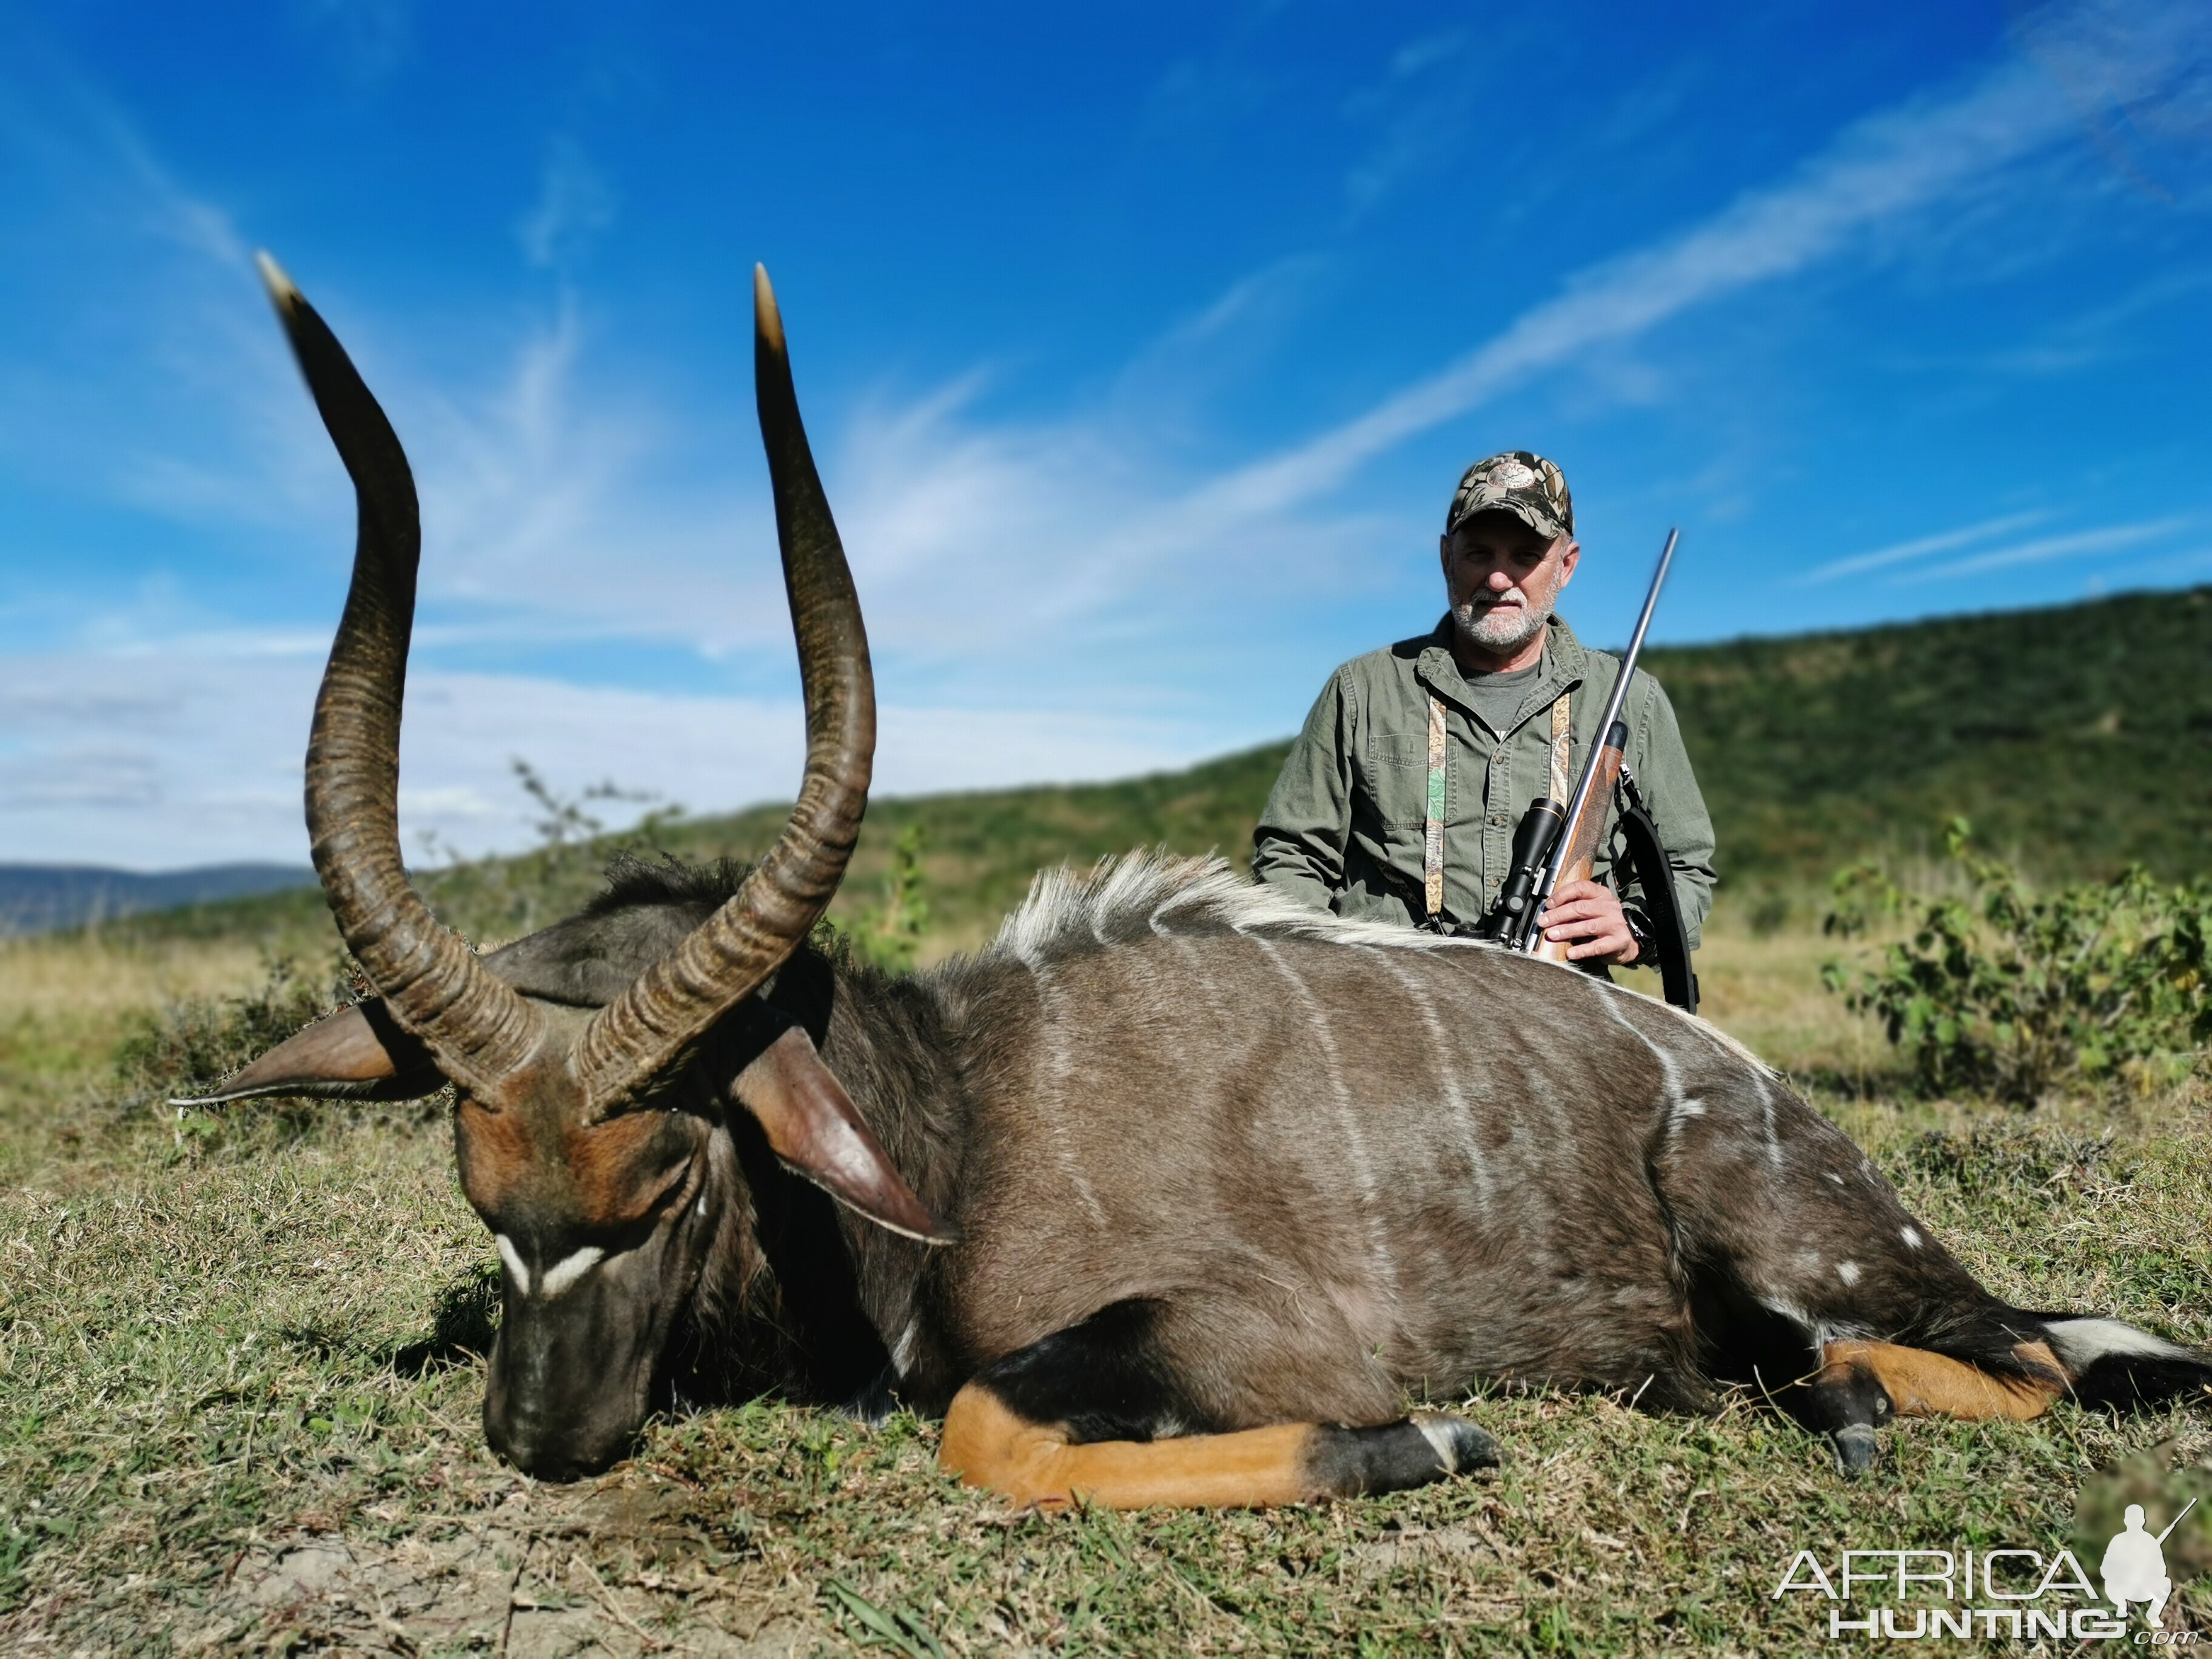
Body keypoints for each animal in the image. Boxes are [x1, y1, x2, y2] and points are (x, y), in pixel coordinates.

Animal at [195, 256, 2212, 1504]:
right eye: (479, 1190)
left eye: (672, 1176)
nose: (536, 1440)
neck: (955, 1116)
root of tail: (1756, 1097)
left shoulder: (1247, 1336)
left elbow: (988, 1428)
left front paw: (1428, 1447)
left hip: (1807, 1253)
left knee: (2024, 1360)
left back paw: (1842, 1400)